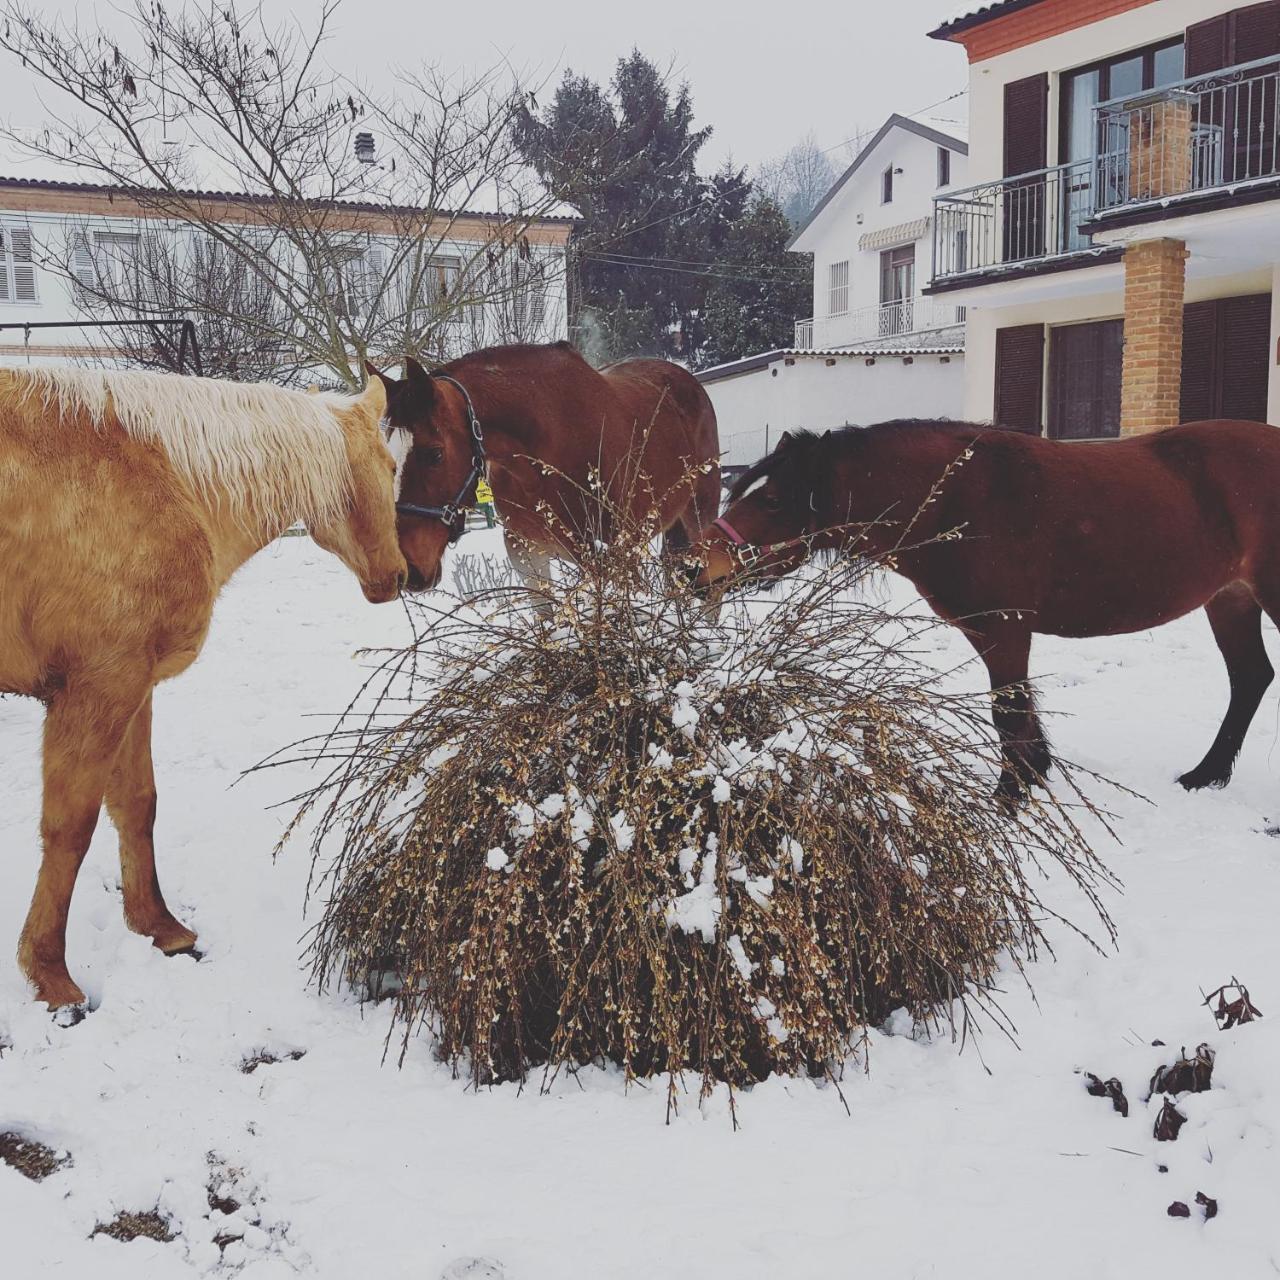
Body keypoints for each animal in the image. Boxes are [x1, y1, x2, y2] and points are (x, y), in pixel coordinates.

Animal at [1, 363, 404, 1008]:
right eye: (391, 468)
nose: (398, 576)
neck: (164, 479)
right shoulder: (96, 690)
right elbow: (70, 829)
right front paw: (50, 974)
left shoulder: (133, 689)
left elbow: (136, 806)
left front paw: (160, 928)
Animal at [696, 419, 1280, 798]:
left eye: (774, 501)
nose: (699, 569)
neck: (961, 499)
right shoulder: (991, 631)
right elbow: (1016, 712)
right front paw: (1034, 774)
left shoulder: (1007, 629)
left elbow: (1008, 713)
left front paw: (1010, 796)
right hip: (1229, 600)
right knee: (1251, 676)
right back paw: (1205, 774)